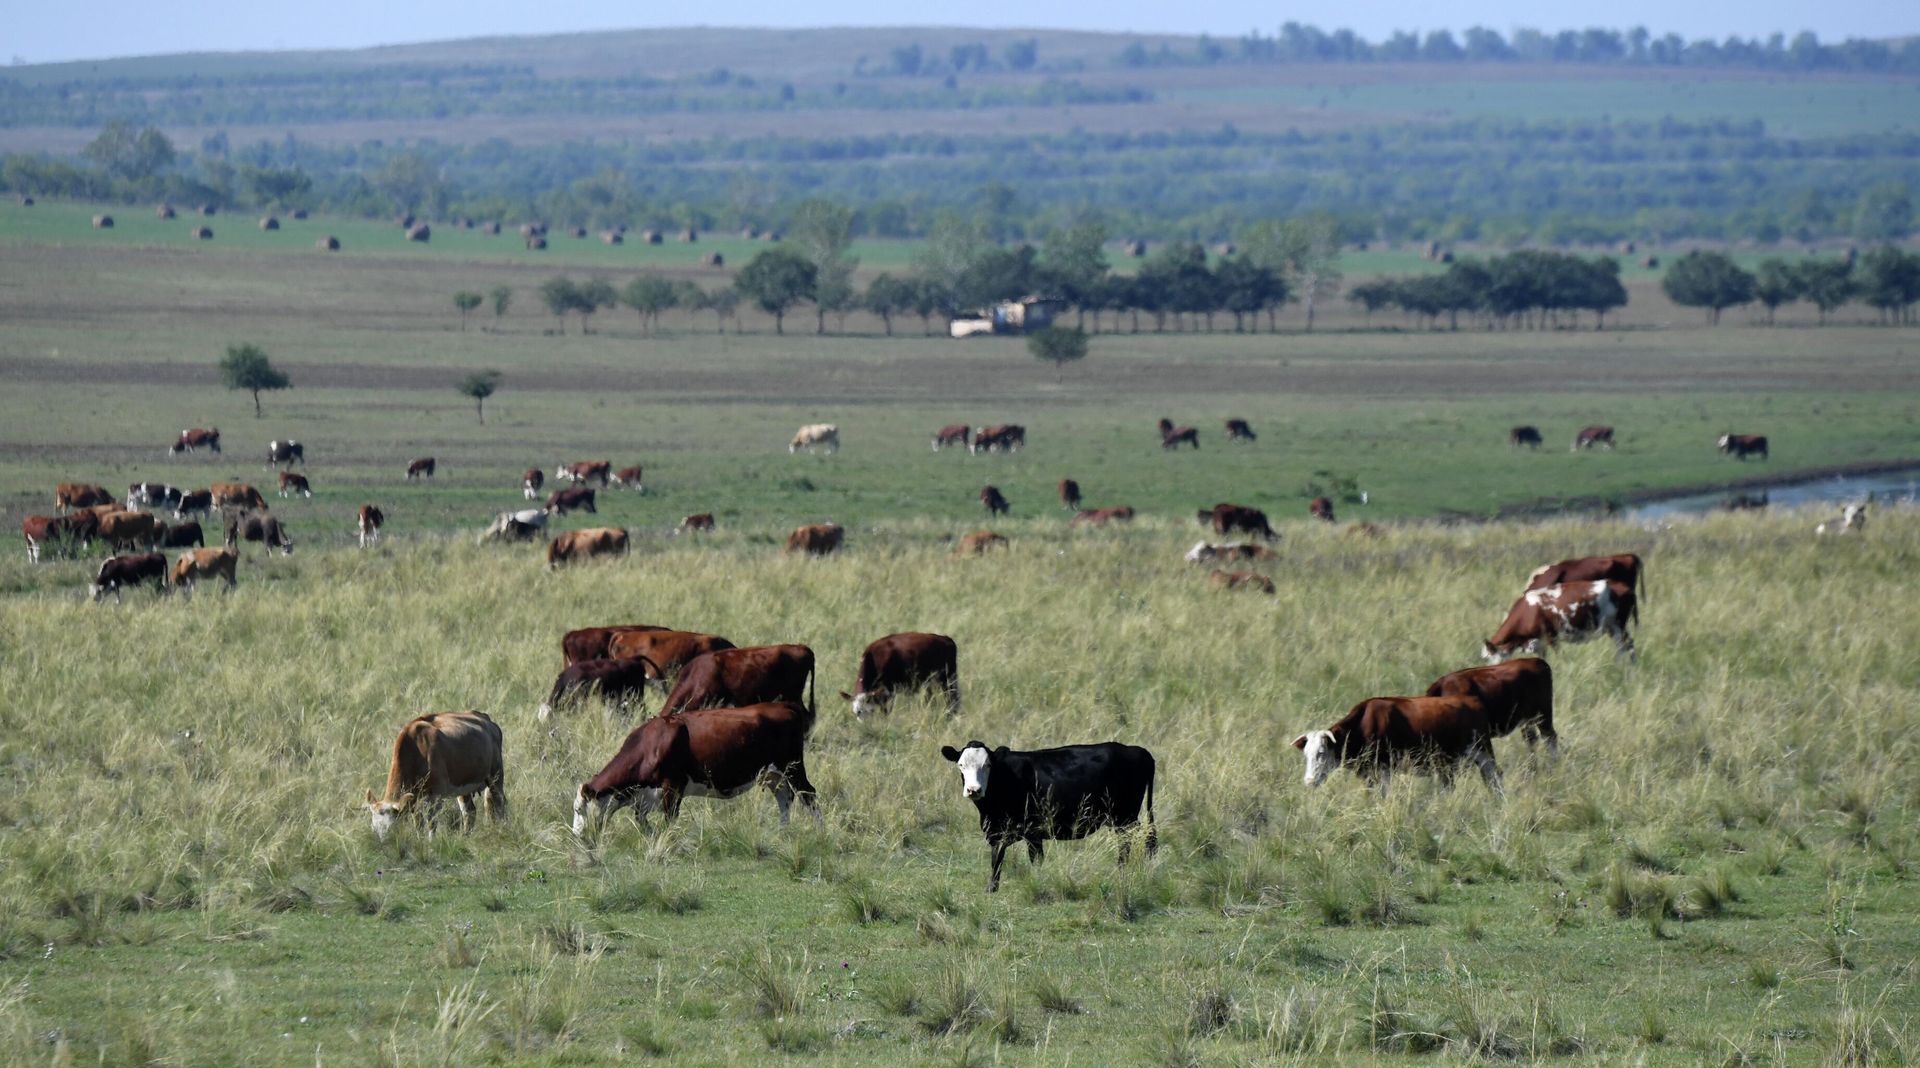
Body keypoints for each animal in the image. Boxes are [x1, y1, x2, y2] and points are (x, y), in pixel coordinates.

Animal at [365, 711, 506, 841]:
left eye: (391, 828)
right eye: (373, 828)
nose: (383, 844)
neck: (416, 749)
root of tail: (484, 717)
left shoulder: (436, 794)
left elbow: (431, 822)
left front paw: (431, 842)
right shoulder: (415, 799)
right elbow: (418, 823)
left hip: (496, 775)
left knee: (500, 802)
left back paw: (503, 828)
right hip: (464, 784)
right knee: (469, 812)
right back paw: (465, 837)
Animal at [572, 701, 820, 835]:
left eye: (578, 809)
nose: (577, 836)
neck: (651, 744)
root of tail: (783, 705)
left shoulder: (673, 787)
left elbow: (669, 819)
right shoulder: (646, 796)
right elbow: (641, 821)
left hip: (793, 768)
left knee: (810, 795)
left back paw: (821, 834)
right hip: (772, 774)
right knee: (784, 798)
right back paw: (782, 833)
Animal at [939, 740, 1157, 892]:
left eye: (988, 765)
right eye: (960, 765)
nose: (973, 790)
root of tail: (1136, 750)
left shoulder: (1031, 830)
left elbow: (1032, 859)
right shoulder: (998, 831)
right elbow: (998, 858)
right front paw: (993, 887)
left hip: (1125, 816)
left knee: (1134, 840)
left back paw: (1122, 870)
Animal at [1292, 696, 1502, 795]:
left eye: (1321, 752)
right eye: (1306, 755)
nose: (1309, 781)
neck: (1363, 725)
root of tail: (1472, 700)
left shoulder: (1384, 769)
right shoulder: (1369, 773)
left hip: (1483, 751)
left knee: (1495, 776)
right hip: (1447, 764)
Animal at [1484, 580, 1637, 664]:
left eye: (1488, 657)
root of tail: (1622, 586)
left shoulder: (1552, 636)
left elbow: (1561, 657)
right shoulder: (1540, 643)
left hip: (1618, 625)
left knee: (1623, 646)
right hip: (1612, 627)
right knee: (1627, 645)